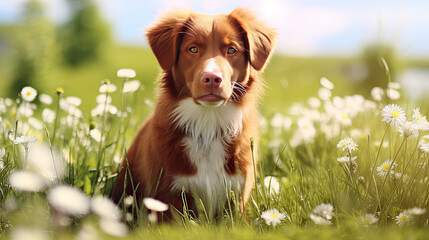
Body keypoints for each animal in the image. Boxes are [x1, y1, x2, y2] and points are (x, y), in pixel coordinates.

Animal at [111, 7, 274, 220]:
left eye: (232, 50)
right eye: (193, 49)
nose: (212, 78)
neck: (208, 122)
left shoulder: (236, 197)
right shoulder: (168, 197)